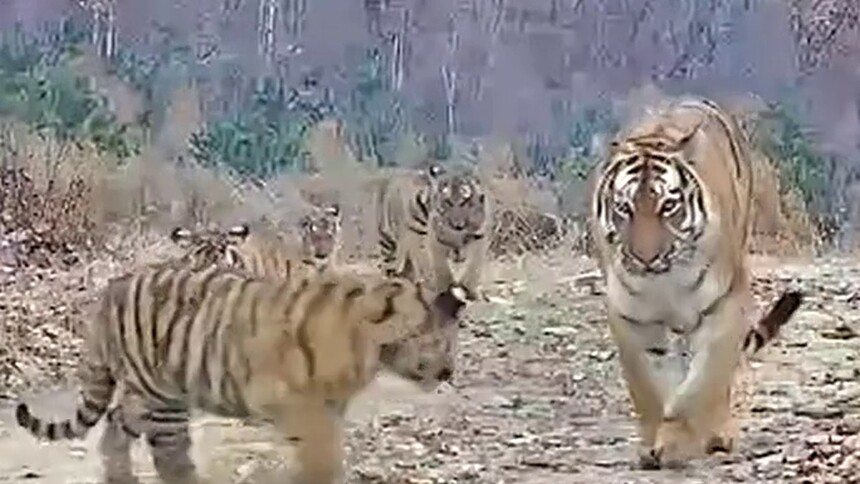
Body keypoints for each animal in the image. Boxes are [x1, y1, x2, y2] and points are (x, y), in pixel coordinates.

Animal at [15, 264, 469, 484]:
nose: (447, 370)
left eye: (450, 339)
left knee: (116, 427)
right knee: (166, 452)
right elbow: (321, 451)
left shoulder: (330, 405)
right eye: (426, 337)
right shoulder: (292, 401)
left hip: (153, 394)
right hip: (158, 393)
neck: (369, 347)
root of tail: (111, 290)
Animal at [374, 162, 493, 302]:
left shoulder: (479, 237)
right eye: (447, 202)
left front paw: (472, 292)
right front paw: (443, 289)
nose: (457, 225)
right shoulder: (430, 239)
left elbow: (474, 266)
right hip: (389, 240)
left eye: (465, 201)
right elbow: (439, 267)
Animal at [588, 96, 805, 469]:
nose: (645, 257)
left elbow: (702, 383)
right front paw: (652, 445)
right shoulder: (631, 318)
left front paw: (679, 441)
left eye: (668, 206)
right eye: (624, 208)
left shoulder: (724, 306)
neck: (664, 280)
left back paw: (716, 434)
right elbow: (648, 385)